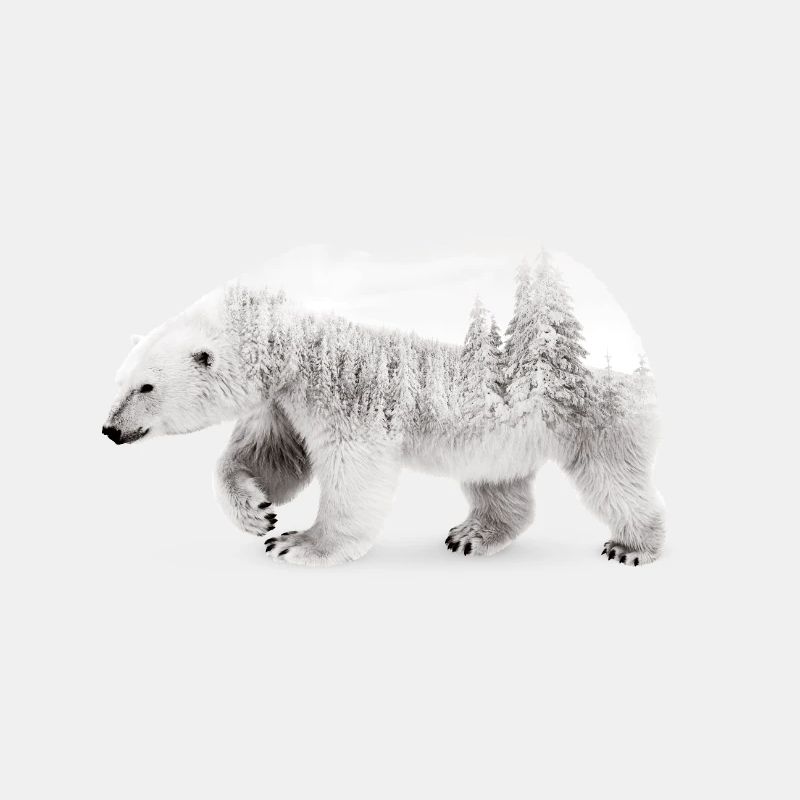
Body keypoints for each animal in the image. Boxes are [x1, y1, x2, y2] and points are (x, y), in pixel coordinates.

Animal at [102, 278, 665, 567]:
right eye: (118, 381)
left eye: (145, 387)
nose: (109, 429)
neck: (293, 343)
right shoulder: (282, 405)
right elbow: (272, 457)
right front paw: (257, 512)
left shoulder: (341, 395)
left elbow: (353, 470)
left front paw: (300, 543)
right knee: (498, 482)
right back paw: (471, 534)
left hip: (593, 424)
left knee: (614, 481)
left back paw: (632, 546)